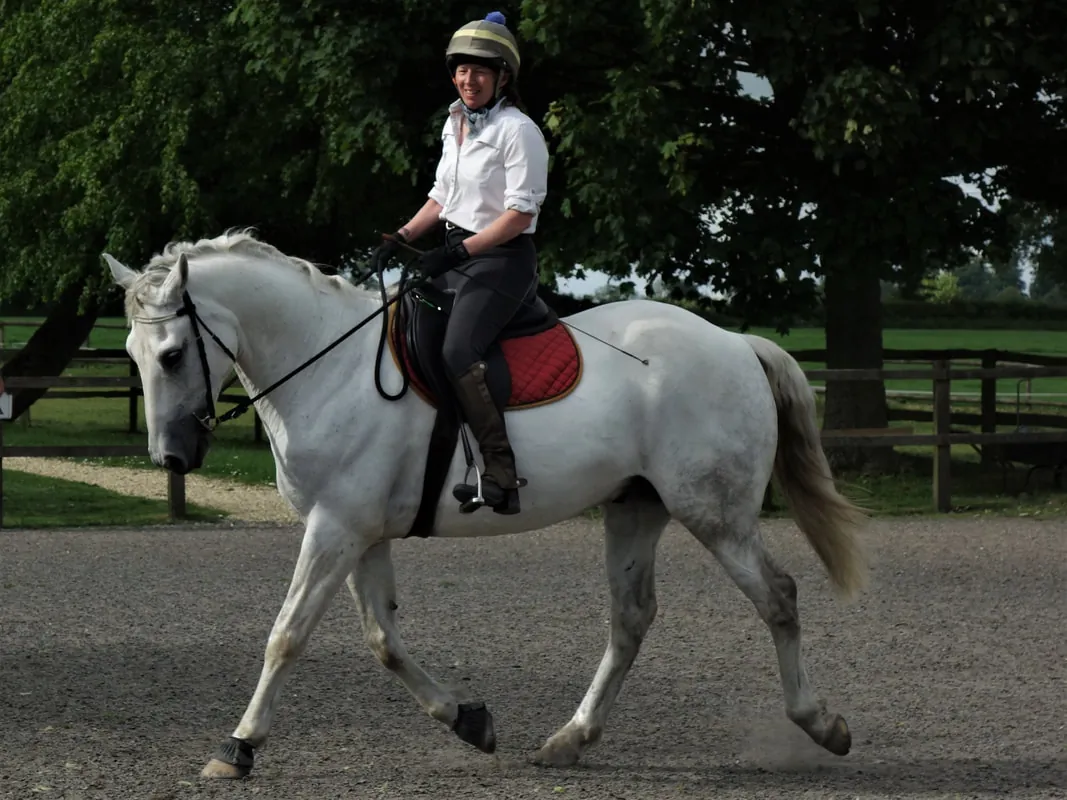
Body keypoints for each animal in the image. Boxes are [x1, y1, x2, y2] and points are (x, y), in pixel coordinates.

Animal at [102, 229, 869, 780]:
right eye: (133, 354)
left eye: (172, 355)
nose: (171, 459)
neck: (328, 366)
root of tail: (734, 342)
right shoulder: (361, 532)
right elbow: (383, 640)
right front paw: (468, 720)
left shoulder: (333, 529)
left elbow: (286, 635)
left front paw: (238, 747)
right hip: (635, 507)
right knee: (630, 619)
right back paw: (569, 739)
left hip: (714, 513)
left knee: (777, 596)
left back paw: (822, 724)